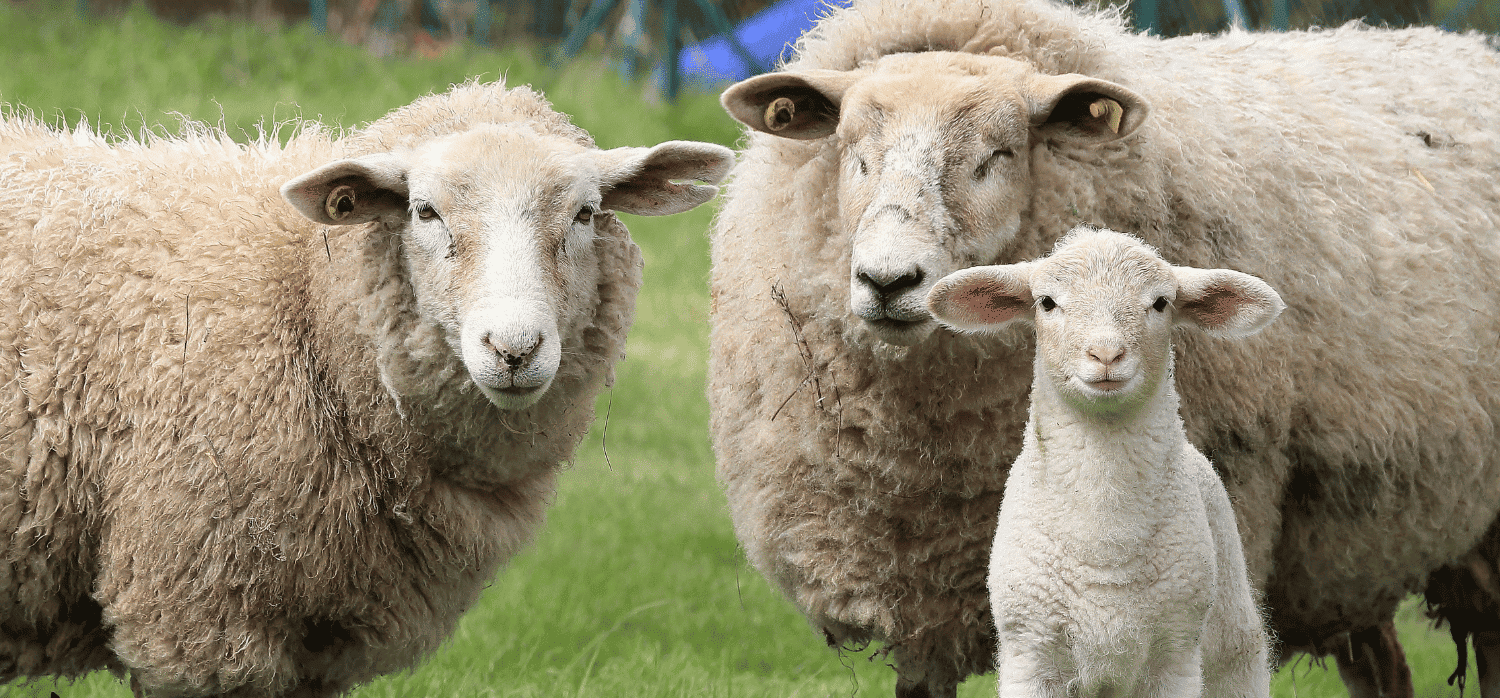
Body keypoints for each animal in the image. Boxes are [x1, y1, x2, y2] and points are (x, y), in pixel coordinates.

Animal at [0, 80, 733, 697]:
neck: (302, 298)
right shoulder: (195, 619)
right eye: (425, 211)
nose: (514, 349)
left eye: (585, 213)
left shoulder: (318, 649)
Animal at [927, 227, 1276, 698]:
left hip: (1233, 653)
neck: (1104, 534)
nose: (1106, 355)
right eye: (1047, 302)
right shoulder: (1030, 652)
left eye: (1161, 303)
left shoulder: (1174, 656)